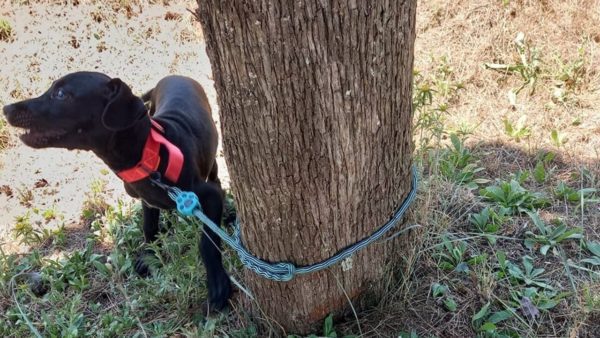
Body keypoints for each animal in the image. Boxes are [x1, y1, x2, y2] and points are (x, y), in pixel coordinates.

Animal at [2, 72, 232, 312]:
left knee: (215, 173)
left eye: (61, 94)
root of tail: (176, 76)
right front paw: (150, 256)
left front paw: (217, 284)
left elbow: (207, 241)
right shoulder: (148, 200)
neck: (147, 157)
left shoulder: (210, 196)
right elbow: (149, 228)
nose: (6, 109)